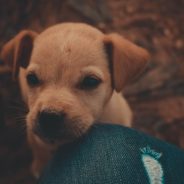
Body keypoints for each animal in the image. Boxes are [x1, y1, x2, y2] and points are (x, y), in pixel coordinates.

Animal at [0, 22, 150, 177]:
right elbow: (41, 152)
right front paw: (39, 167)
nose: (49, 116)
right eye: (31, 78)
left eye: (91, 81)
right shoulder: (37, 139)